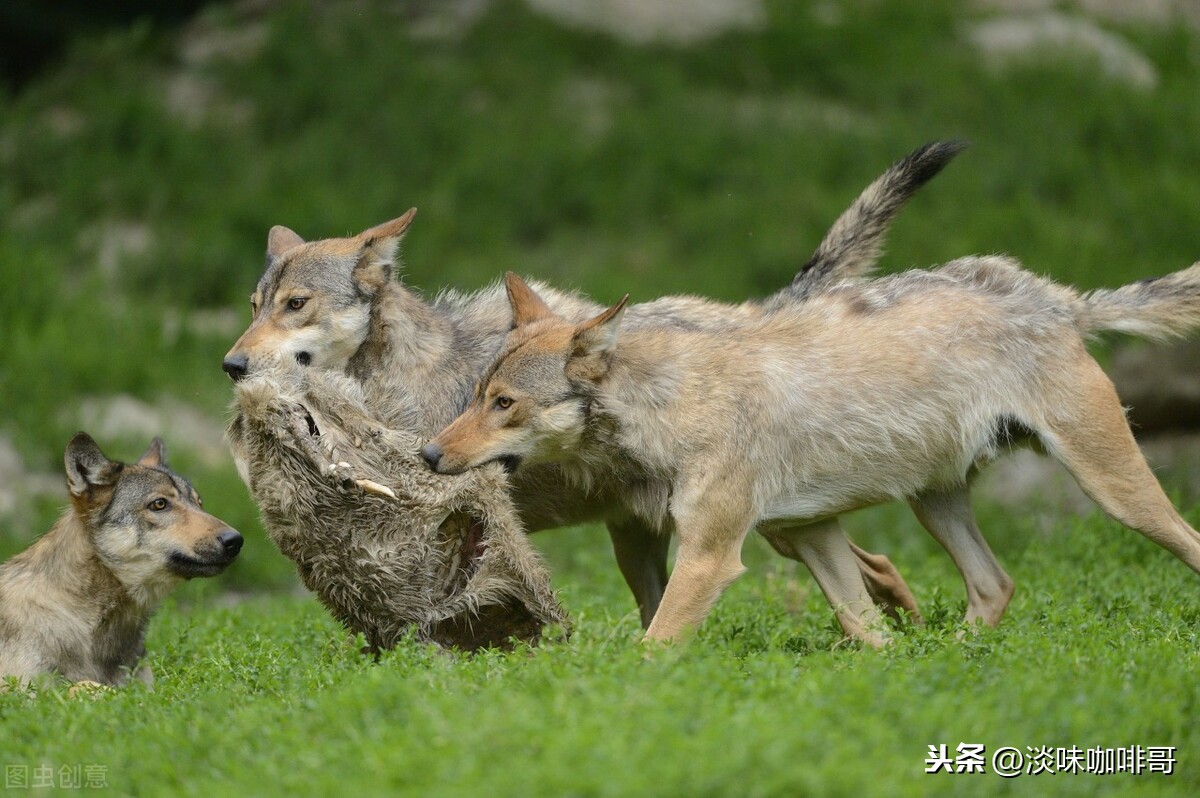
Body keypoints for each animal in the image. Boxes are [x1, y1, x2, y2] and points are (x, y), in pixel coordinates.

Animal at [223, 143, 964, 628]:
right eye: (254, 305)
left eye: (295, 305)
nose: (232, 365)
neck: (399, 381)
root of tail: (756, 313)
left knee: (875, 566)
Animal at [424, 258, 1200, 643]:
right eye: (475, 394)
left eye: (503, 404)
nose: (429, 454)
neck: (674, 404)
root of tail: (1057, 300)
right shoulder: (811, 532)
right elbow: (866, 629)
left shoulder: (712, 557)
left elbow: (653, 647)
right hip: (934, 506)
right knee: (994, 585)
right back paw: (954, 660)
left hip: (1115, 491)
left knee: (1183, 538)